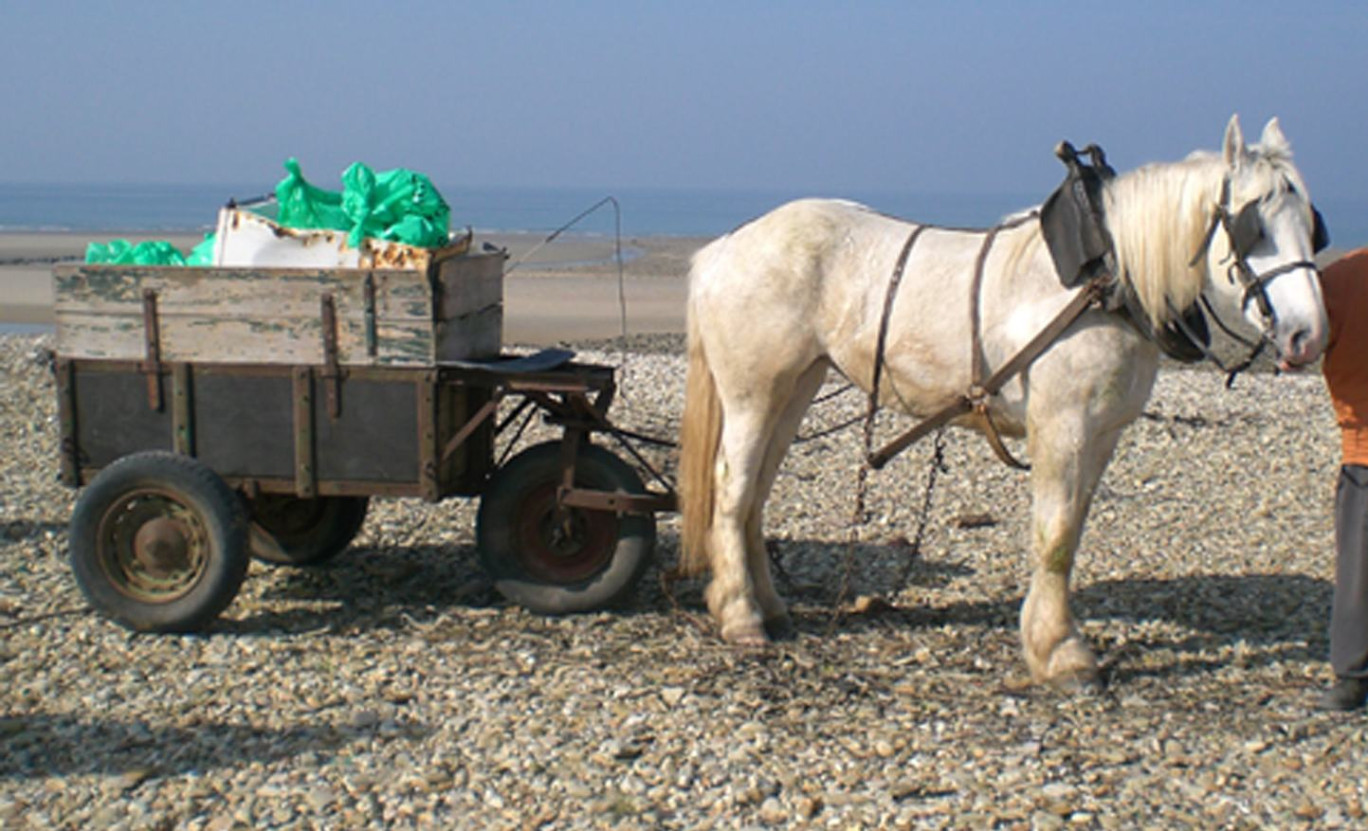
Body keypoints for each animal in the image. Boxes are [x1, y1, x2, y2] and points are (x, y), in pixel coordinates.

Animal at [678, 117, 1329, 689]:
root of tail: (723, 248)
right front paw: (1061, 653)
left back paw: (768, 606)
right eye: (1253, 227)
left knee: (757, 492)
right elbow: (1056, 535)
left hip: (797, 384)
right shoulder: (1063, 426)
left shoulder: (1102, 433)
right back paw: (739, 615)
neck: (1106, 281)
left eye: (1312, 226)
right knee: (733, 487)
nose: (1307, 335)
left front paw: (1054, 640)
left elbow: (1073, 531)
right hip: (753, 389)